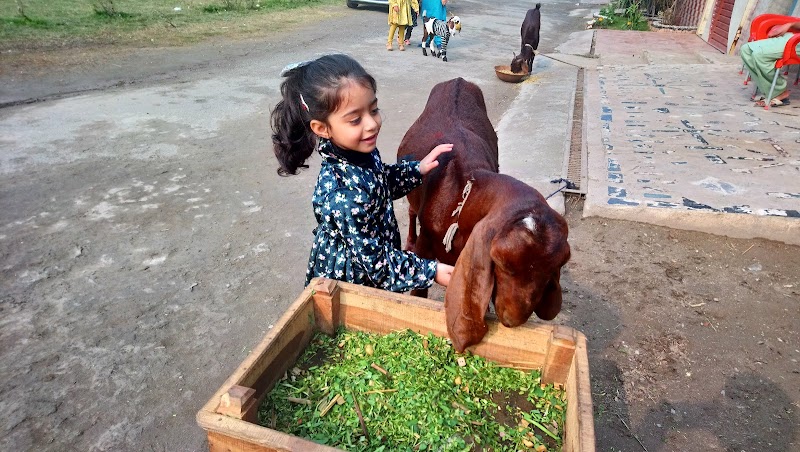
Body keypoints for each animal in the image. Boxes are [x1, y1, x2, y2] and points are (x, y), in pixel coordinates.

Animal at [396, 77, 572, 354]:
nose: (512, 320)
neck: (463, 193)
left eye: (555, 267)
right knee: (412, 211)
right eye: (500, 262)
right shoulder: (427, 241)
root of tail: (457, 80)